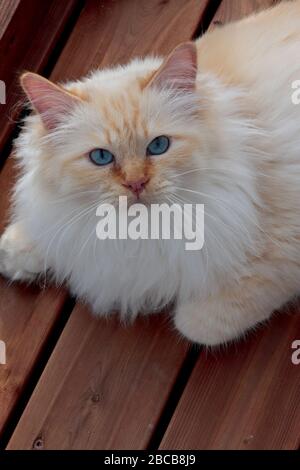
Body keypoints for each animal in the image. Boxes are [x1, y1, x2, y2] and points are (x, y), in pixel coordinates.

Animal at [0, 0, 300, 346]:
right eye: (101, 157)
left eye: (158, 146)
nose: (136, 183)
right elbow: (53, 235)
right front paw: (15, 252)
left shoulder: (282, 242)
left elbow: (202, 323)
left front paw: (188, 316)